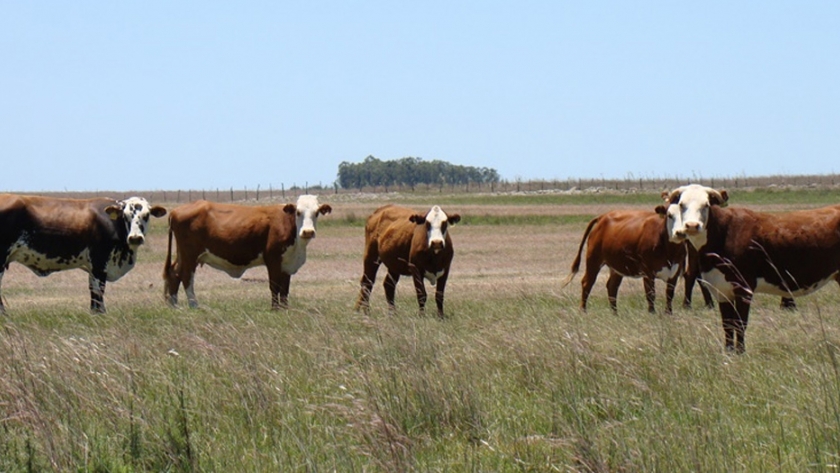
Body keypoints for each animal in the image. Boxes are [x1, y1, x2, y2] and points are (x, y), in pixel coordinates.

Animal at [0, 194, 167, 312]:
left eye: (146, 215)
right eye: (125, 216)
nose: (135, 238)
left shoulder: (93, 268)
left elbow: (93, 294)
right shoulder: (100, 263)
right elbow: (98, 294)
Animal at [162, 194, 334, 308]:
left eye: (317, 212)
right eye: (298, 212)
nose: (308, 232)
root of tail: (176, 210)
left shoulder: (287, 263)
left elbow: (285, 289)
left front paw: (285, 309)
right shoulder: (273, 260)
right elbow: (275, 286)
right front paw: (275, 309)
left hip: (184, 254)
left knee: (174, 273)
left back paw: (174, 304)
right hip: (190, 255)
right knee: (186, 277)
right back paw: (194, 305)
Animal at [560, 207, 712, 314]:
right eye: (670, 215)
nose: (680, 233)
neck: (668, 248)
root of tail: (603, 217)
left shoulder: (674, 271)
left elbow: (669, 294)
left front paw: (668, 313)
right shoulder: (648, 272)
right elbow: (651, 294)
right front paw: (652, 313)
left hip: (617, 266)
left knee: (612, 286)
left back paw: (615, 313)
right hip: (594, 259)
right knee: (587, 283)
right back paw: (583, 311)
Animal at [668, 183, 832, 352]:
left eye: (706, 205)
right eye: (681, 205)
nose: (692, 226)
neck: (723, 232)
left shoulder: (743, 288)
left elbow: (740, 324)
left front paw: (740, 352)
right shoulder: (722, 290)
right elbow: (728, 324)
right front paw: (729, 352)